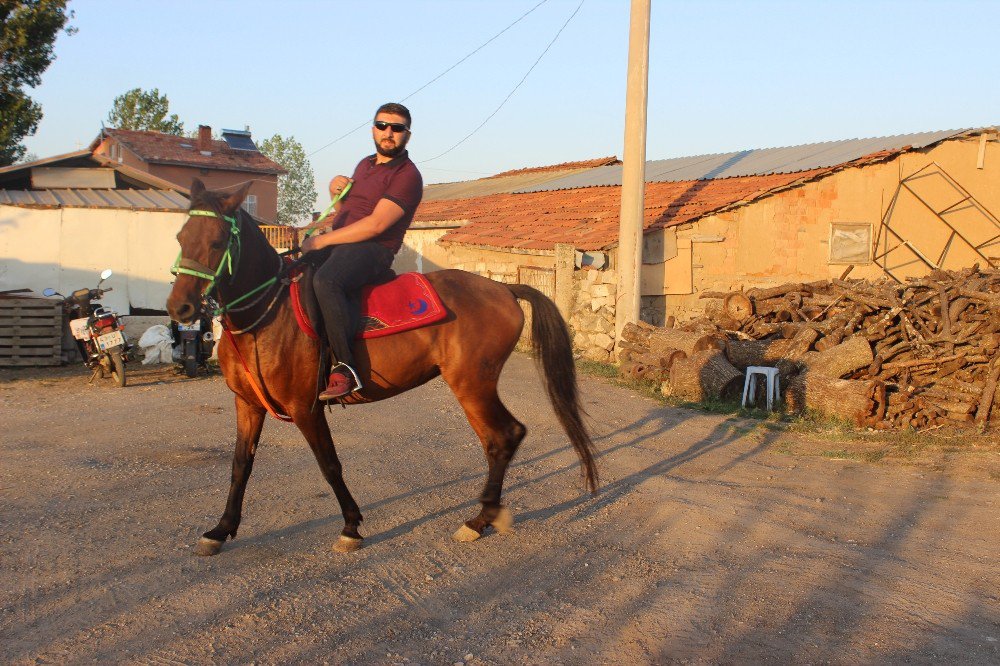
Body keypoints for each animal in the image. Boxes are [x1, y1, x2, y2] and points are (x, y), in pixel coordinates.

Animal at [168, 179, 596, 552]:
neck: (268, 317)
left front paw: (351, 526)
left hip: (472, 383)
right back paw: (484, 517)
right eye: (180, 237)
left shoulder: (305, 408)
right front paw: (221, 529)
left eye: (217, 241)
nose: (180, 308)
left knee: (505, 435)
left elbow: (330, 465)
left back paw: (479, 520)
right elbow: (240, 465)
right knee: (497, 440)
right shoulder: (247, 405)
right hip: (472, 385)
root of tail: (503, 288)